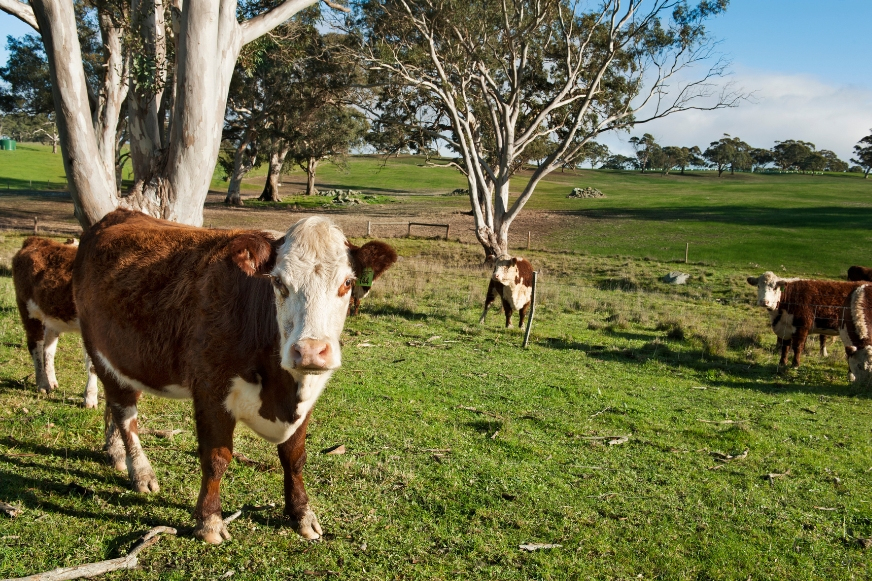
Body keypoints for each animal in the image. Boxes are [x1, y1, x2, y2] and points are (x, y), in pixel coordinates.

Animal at [12, 237, 99, 408]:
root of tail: (35, 240)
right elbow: (93, 365)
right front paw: (90, 398)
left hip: (51, 318)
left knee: (48, 349)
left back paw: (51, 380)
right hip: (27, 309)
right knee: (36, 346)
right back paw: (43, 383)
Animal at [72, 209, 397, 544]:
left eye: (347, 282)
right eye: (279, 282)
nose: (309, 351)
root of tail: (118, 214)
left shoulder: (307, 397)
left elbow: (294, 457)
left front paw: (302, 514)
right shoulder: (210, 391)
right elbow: (216, 458)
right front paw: (210, 521)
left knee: (115, 407)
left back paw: (115, 453)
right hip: (99, 350)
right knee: (125, 414)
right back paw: (141, 472)